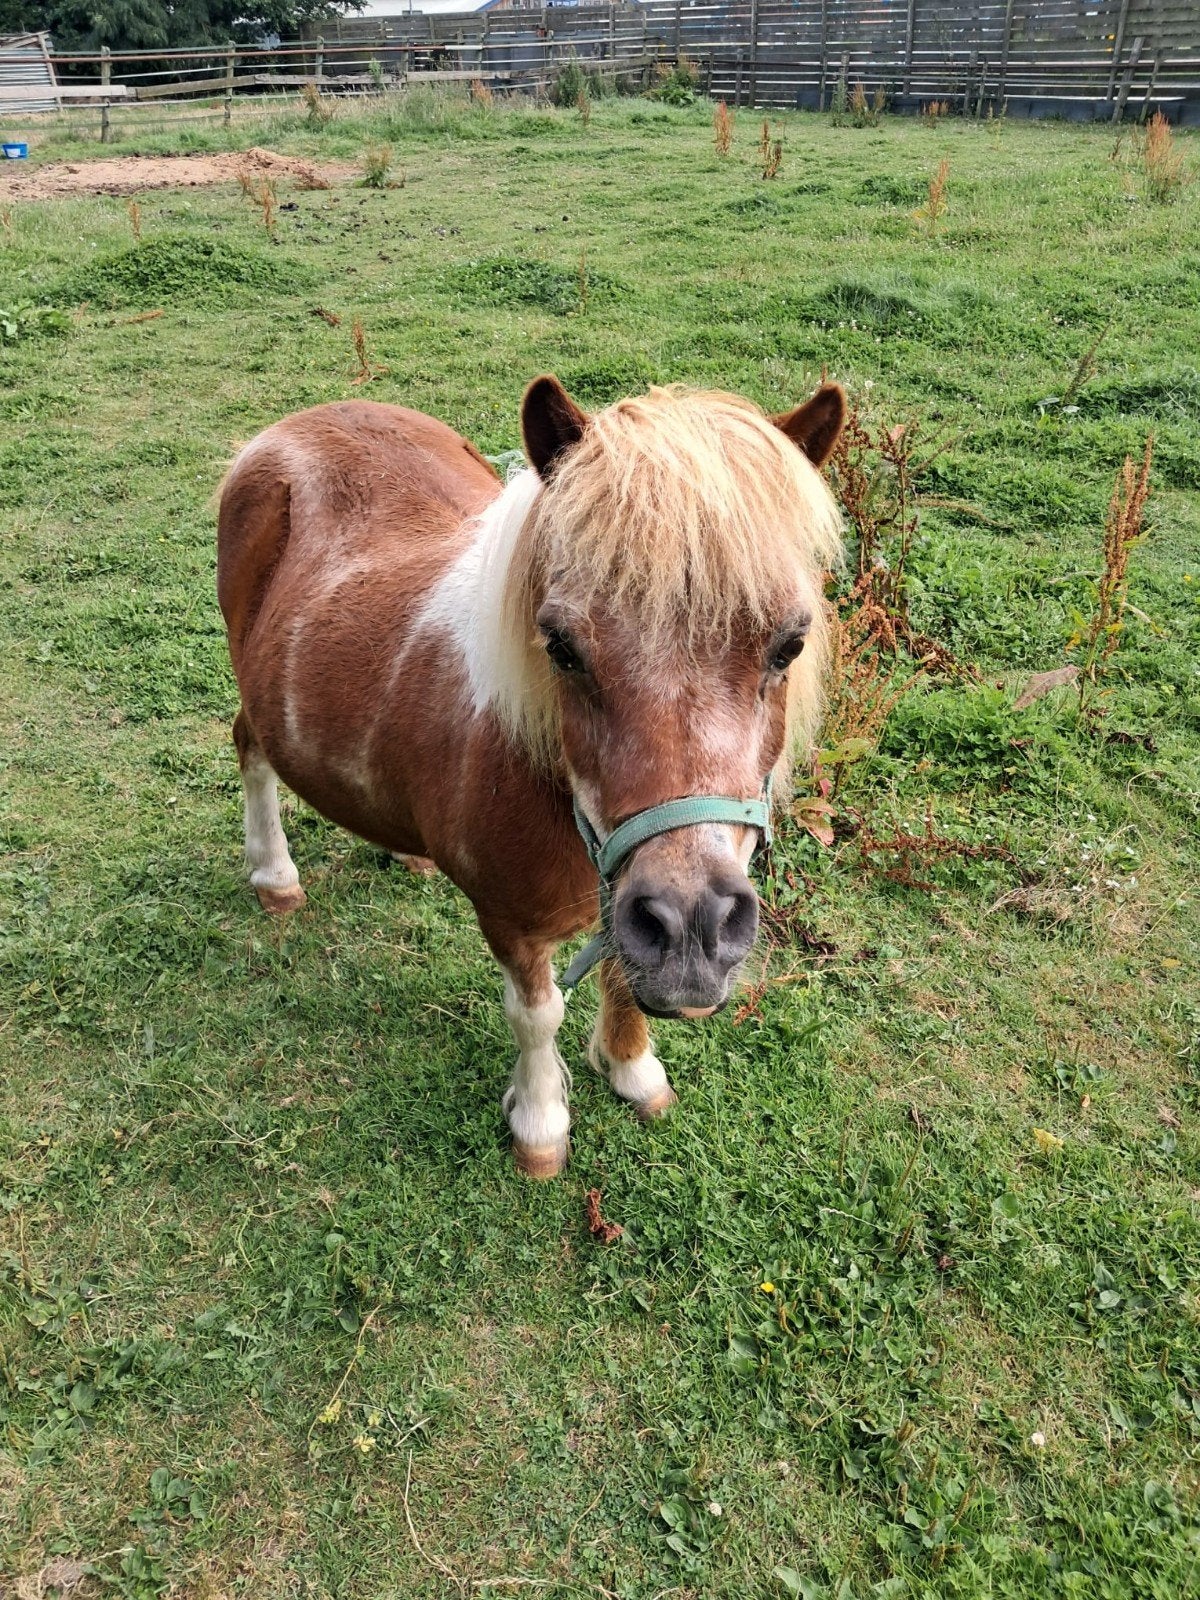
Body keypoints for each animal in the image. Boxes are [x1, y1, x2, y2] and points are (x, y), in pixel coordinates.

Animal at [216, 376, 845, 1177]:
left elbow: (619, 975)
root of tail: (291, 428)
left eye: (788, 645)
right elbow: (537, 1014)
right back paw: (274, 875)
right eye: (562, 647)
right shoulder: (509, 922)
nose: (694, 932)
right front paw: (541, 1124)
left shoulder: (619, 898)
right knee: (250, 747)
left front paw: (634, 1071)